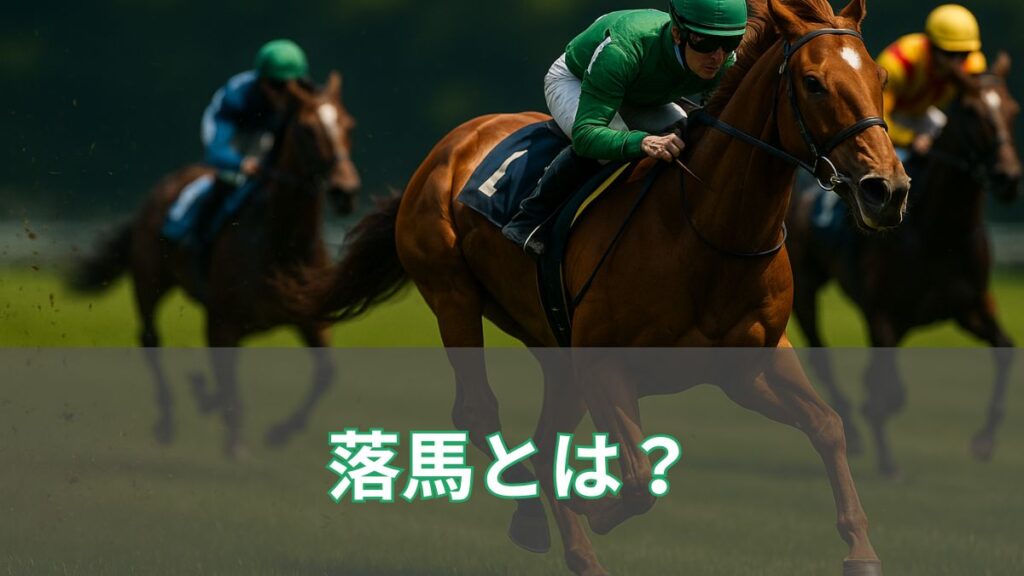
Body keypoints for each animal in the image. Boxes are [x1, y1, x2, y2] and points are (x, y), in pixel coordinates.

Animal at [71, 72, 361, 458]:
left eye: (348, 124)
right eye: (307, 129)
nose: (346, 191)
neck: (282, 243)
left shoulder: (311, 318)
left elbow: (326, 374)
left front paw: (280, 432)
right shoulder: (223, 320)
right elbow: (228, 377)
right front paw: (235, 439)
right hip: (149, 281)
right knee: (151, 340)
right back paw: (168, 420)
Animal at [284, 0, 907, 573]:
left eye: (878, 79)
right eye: (813, 83)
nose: (887, 190)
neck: (706, 228)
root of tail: (454, 142)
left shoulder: (748, 365)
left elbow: (827, 426)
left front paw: (861, 551)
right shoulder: (605, 365)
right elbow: (639, 480)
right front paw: (595, 510)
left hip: (555, 347)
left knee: (543, 439)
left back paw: (568, 542)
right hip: (453, 296)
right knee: (481, 414)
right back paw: (538, 512)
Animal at [787, 54, 1021, 478]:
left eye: (1013, 110)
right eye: (972, 111)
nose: (1008, 177)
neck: (940, 232)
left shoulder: (971, 306)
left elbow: (1005, 350)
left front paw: (985, 440)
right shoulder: (882, 313)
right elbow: (887, 386)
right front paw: (885, 453)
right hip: (806, 288)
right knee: (822, 356)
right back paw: (856, 433)